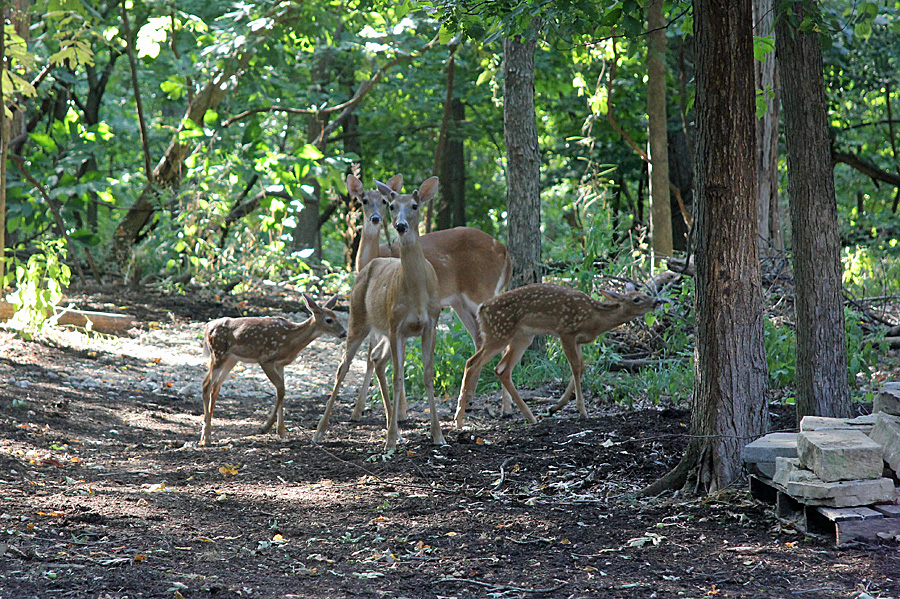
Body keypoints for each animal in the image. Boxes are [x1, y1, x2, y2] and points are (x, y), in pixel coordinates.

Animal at [199, 294, 346, 446]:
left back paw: (205, 435)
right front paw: (267, 426)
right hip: (218, 354)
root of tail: (207, 326)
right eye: (329, 320)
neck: (290, 340)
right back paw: (207, 437)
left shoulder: (280, 365)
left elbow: (281, 391)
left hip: (231, 359)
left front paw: (281, 432)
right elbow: (281, 389)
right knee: (206, 384)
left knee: (215, 387)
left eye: (337, 317)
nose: (344, 333)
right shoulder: (265, 359)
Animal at [315, 176, 445, 450]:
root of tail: (368, 266)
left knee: (376, 359)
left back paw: (394, 428)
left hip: (383, 330)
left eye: (415, 205)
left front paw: (438, 435)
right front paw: (390, 441)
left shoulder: (430, 324)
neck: (417, 293)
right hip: (359, 319)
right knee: (343, 366)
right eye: (393, 205)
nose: (401, 225)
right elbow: (398, 378)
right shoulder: (397, 326)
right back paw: (320, 431)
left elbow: (428, 375)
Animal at [345, 173, 514, 422]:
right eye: (364, 200)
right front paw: (358, 411)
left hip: (482, 291)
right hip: (459, 302)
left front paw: (400, 412)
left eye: (384, 202)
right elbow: (371, 357)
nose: (375, 219)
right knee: (478, 338)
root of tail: (505, 252)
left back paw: (505, 407)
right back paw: (469, 401)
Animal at [453, 283, 660, 427]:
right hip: (499, 333)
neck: (594, 320)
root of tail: (481, 309)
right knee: (472, 362)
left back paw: (531, 417)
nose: (657, 301)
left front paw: (555, 407)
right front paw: (582, 411)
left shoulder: (578, 341)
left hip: (521, 336)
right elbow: (575, 367)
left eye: (644, 293)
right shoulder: (566, 331)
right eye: (636, 299)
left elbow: (581, 367)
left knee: (501, 369)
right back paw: (459, 420)